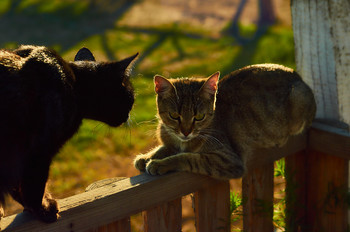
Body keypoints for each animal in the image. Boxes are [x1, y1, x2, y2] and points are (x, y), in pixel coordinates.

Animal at [0, 45, 138, 223]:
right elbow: (33, 186)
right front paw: (44, 210)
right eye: (131, 97)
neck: (74, 85)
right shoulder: (39, 152)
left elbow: (17, 187)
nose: (128, 116)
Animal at [133, 64, 314, 179]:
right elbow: (164, 148)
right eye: (174, 115)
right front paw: (146, 157)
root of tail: (298, 76)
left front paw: (159, 164)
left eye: (199, 116)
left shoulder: (228, 160)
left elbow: (188, 157)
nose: (186, 132)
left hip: (298, 97)